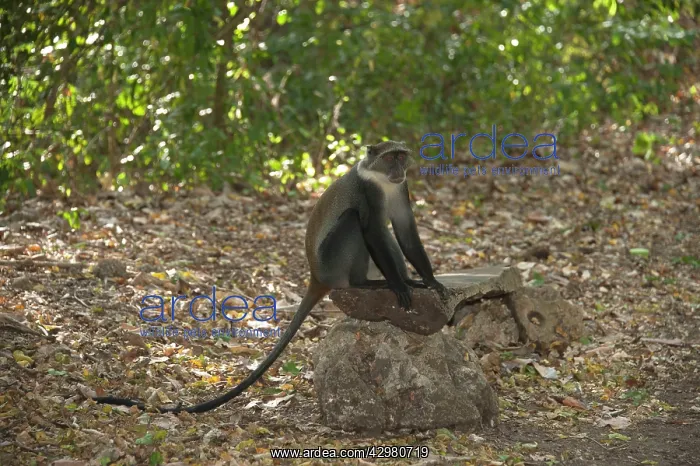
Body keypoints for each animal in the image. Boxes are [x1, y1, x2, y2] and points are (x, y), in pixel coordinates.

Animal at [91, 140, 446, 413]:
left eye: (401, 156)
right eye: (389, 157)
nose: (399, 167)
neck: (383, 181)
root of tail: (316, 276)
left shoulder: (401, 190)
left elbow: (404, 231)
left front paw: (428, 281)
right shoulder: (368, 191)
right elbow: (373, 229)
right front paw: (399, 285)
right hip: (333, 261)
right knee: (352, 222)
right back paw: (368, 283)